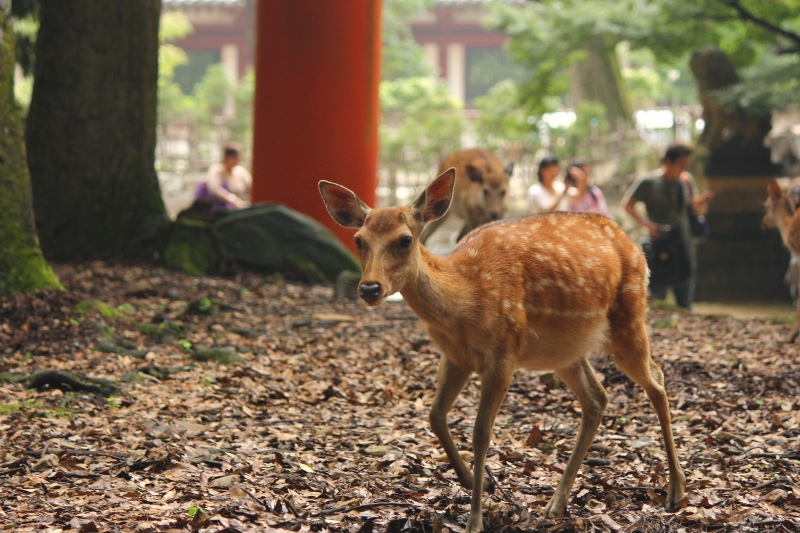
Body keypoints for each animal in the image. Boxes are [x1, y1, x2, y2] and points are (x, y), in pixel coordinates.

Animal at [318, 168, 688, 528]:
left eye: (405, 240)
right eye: (358, 240)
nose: (369, 288)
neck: (463, 299)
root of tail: (636, 247)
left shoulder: (503, 350)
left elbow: (481, 432)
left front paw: (475, 519)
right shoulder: (455, 356)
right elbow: (435, 416)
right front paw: (476, 481)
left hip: (628, 315)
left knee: (656, 380)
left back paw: (676, 491)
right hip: (565, 351)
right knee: (597, 397)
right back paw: (556, 504)